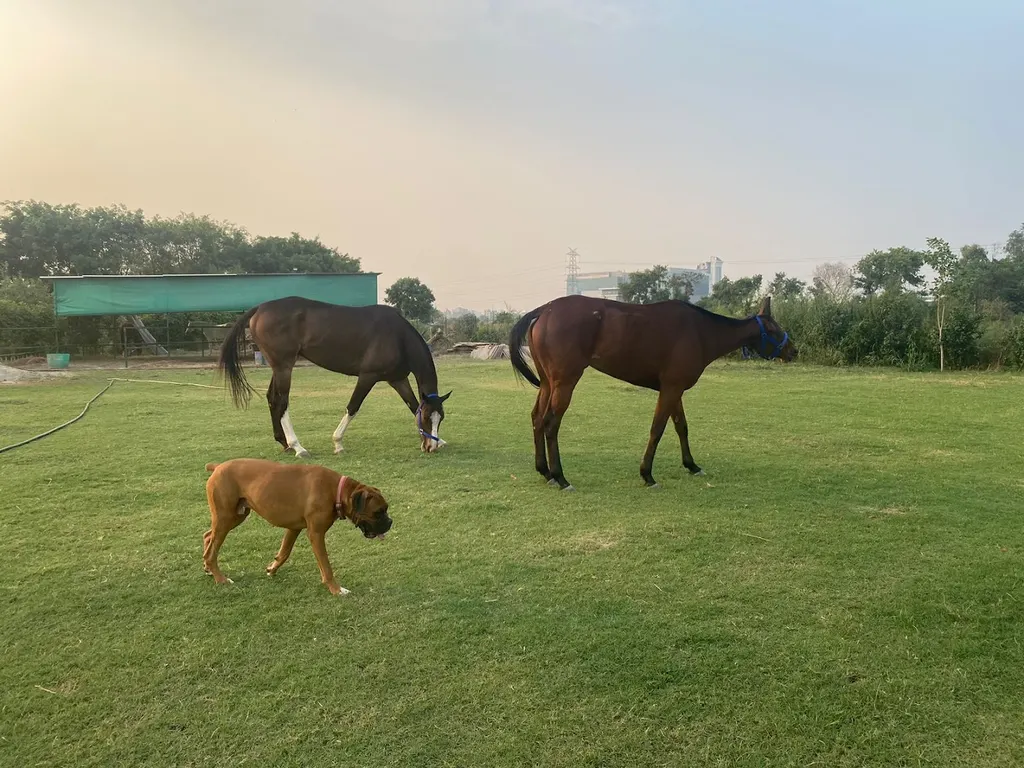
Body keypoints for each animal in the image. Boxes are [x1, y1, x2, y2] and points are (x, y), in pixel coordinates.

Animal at [217, 296, 451, 458]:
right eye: (427, 417)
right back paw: (298, 447)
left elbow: (413, 406)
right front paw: (338, 443)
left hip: (279, 368)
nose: (430, 447)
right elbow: (353, 407)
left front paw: (437, 441)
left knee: (272, 399)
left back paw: (284, 443)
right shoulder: (368, 376)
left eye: (439, 418)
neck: (398, 337)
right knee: (281, 402)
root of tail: (260, 308)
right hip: (284, 366)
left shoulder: (397, 380)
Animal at [508, 294, 797, 490]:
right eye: (773, 329)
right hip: (565, 382)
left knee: (537, 419)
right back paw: (560, 476)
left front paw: (691, 465)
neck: (701, 331)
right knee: (551, 423)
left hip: (548, 383)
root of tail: (546, 309)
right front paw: (647, 474)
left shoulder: (674, 389)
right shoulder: (671, 388)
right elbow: (657, 429)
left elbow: (681, 427)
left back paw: (545, 471)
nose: (793, 350)